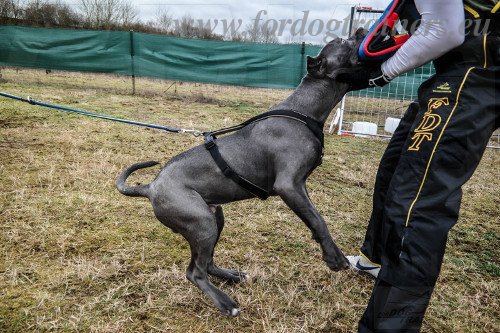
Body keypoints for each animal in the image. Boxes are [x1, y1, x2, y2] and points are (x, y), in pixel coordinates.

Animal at [117, 28, 368, 314]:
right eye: (341, 41)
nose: (361, 30)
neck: (302, 112)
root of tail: (150, 187)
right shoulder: (289, 186)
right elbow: (318, 220)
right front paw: (334, 258)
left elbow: (315, 220)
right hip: (202, 223)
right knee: (195, 272)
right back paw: (226, 304)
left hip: (214, 218)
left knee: (207, 263)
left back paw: (231, 276)